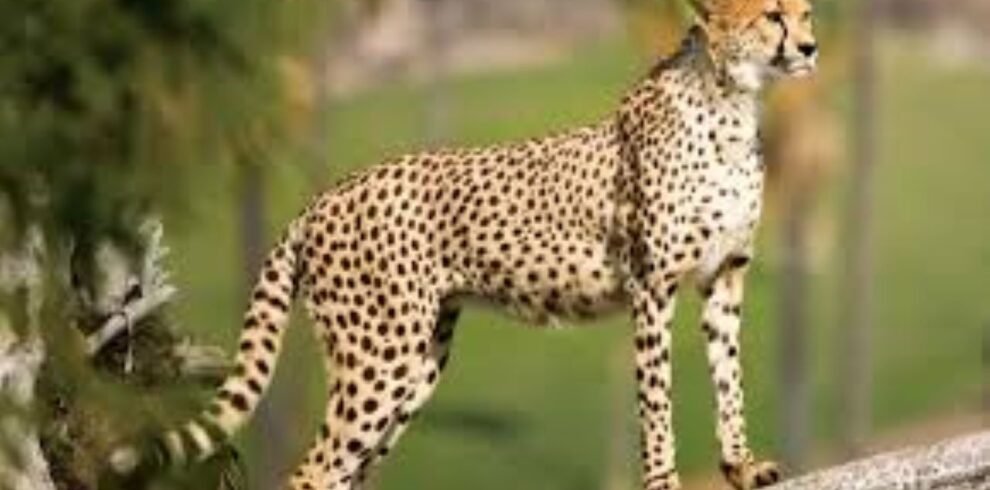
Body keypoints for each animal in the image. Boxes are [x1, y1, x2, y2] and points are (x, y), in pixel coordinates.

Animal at [109, 0, 818, 488]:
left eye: (806, 10)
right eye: (772, 14)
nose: (811, 46)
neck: (730, 101)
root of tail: (321, 198)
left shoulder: (725, 278)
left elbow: (729, 379)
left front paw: (742, 465)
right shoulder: (653, 289)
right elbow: (657, 400)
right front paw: (666, 480)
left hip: (416, 361)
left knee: (343, 472)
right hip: (379, 359)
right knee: (313, 472)